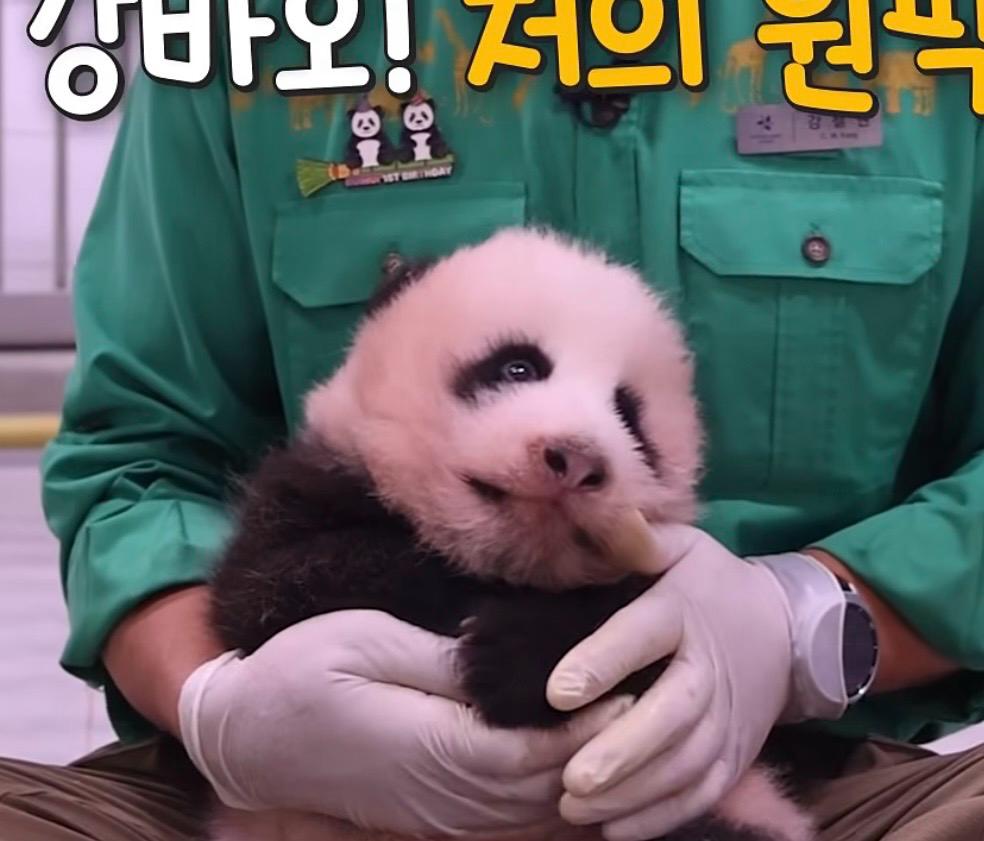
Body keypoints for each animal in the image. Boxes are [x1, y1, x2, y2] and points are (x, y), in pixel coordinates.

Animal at [207, 229, 816, 841]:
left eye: (628, 416)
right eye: (517, 367)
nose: (575, 459)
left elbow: (658, 641)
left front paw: (518, 656)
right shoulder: (305, 491)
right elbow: (275, 593)